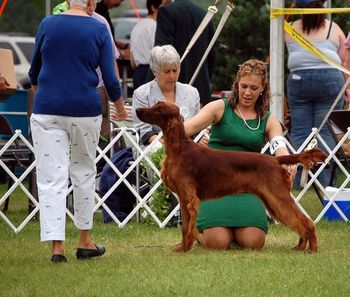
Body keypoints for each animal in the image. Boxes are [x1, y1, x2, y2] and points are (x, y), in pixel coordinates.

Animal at [135, 100, 326, 251]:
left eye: (159, 109)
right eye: (155, 105)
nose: (137, 110)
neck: (179, 149)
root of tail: (275, 159)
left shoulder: (189, 197)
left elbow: (189, 227)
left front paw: (185, 248)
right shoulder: (183, 198)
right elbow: (184, 227)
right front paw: (183, 246)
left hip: (277, 196)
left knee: (305, 220)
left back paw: (311, 249)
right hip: (272, 200)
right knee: (298, 220)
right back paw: (301, 246)